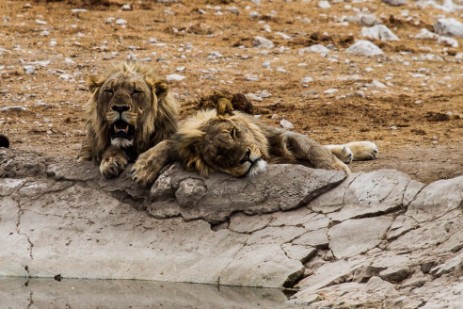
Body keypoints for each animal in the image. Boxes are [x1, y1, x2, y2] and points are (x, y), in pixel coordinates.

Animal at [130, 98, 376, 185]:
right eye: (220, 155)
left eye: (234, 133)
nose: (246, 157)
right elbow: (166, 144)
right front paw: (145, 166)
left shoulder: (279, 136)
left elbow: (311, 147)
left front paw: (336, 168)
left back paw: (356, 149)